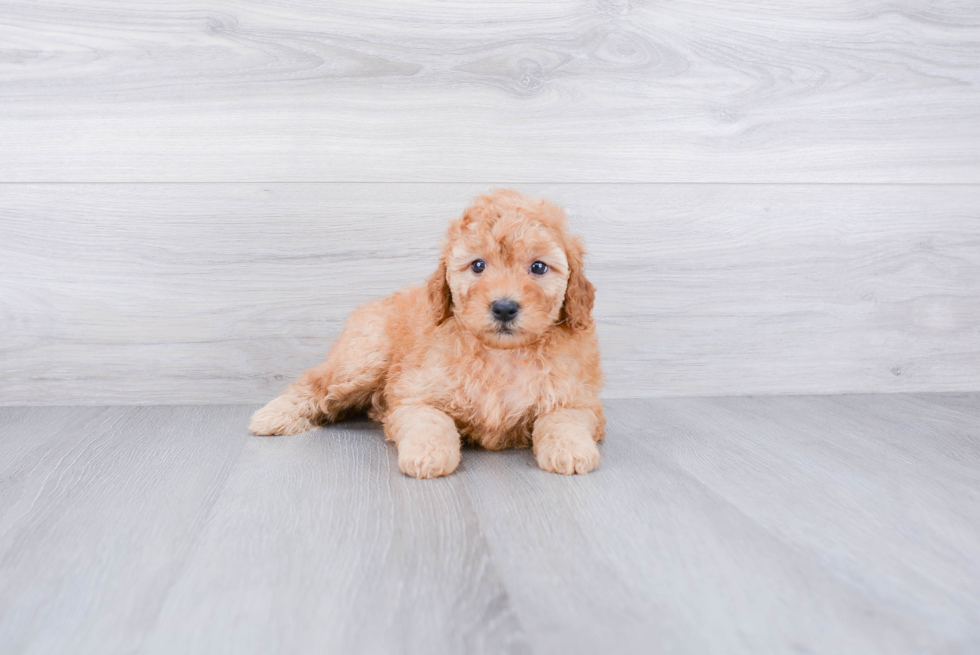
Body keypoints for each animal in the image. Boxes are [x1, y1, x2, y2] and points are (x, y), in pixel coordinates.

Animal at [251, 188, 604, 476]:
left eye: (538, 267)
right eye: (478, 266)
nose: (504, 307)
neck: (500, 354)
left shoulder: (579, 400)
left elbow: (563, 420)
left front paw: (570, 450)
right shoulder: (416, 395)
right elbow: (431, 422)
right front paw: (428, 455)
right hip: (365, 358)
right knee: (316, 381)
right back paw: (274, 415)